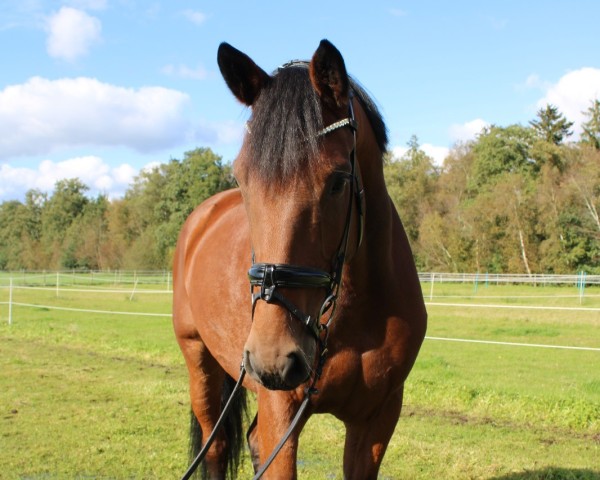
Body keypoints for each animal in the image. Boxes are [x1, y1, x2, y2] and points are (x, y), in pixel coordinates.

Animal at [172, 39, 426, 478]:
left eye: (339, 181)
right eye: (242, 178)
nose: (273, 358)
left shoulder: (376, 420)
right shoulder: (281, 415)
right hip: (199, 358)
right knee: (215, 445)